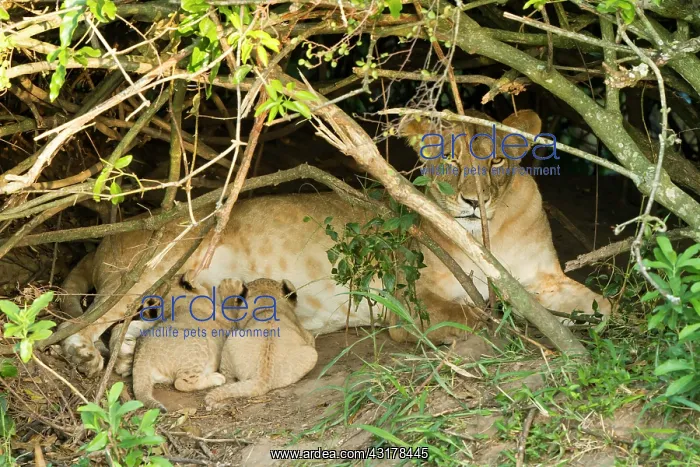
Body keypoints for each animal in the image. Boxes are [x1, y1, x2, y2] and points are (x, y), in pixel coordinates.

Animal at [59, 109, 611, 377]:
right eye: (449, 160)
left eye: (496, 161)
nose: (473, 202)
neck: (486, 233)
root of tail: (100, 243)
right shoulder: (411, 300)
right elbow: (480, 315)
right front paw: (527, 325)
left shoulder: (542, 278)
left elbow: (601, 304)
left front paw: (593, 317)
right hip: (174, 248)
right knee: (87, 324)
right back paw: (84, 356)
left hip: (179, 295)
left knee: (130, 328)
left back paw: (125, 359)